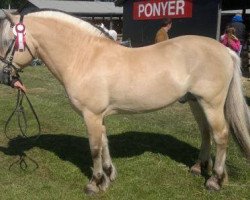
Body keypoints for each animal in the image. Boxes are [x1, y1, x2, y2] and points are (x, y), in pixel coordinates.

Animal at [0, 10, 250, 194]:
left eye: (6, 41)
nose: (5, 77)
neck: (84, 57)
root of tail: (225, 50)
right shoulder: (98, 116)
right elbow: (104, 143)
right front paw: (108, 175)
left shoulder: (91, 115)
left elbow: (95, 148)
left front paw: (94, 183)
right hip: (195, 102)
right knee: (206, 132)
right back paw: (199, 168)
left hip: (211, 103)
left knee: (221, 135)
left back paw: (215, 180)